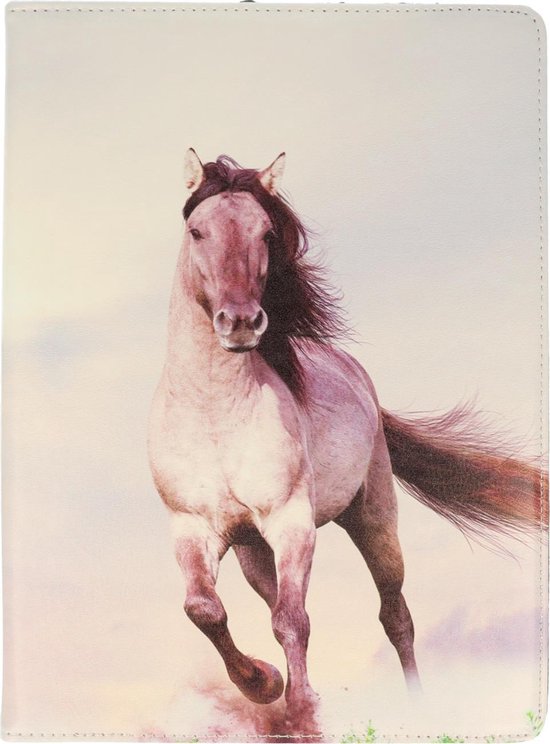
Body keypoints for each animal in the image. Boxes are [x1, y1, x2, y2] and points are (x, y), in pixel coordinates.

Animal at [148, 149, 548, 725]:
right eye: (197, 231)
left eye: (266, 232)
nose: (241, 322)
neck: (213, 415)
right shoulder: (193, 528)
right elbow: (205, 610)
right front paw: (263, 683)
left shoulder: (292, 522)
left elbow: (293, 620)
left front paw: (302, 711)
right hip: (252, 550)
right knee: (272, 603)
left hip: (374, 517)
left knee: (395, 616)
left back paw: (418, 708)